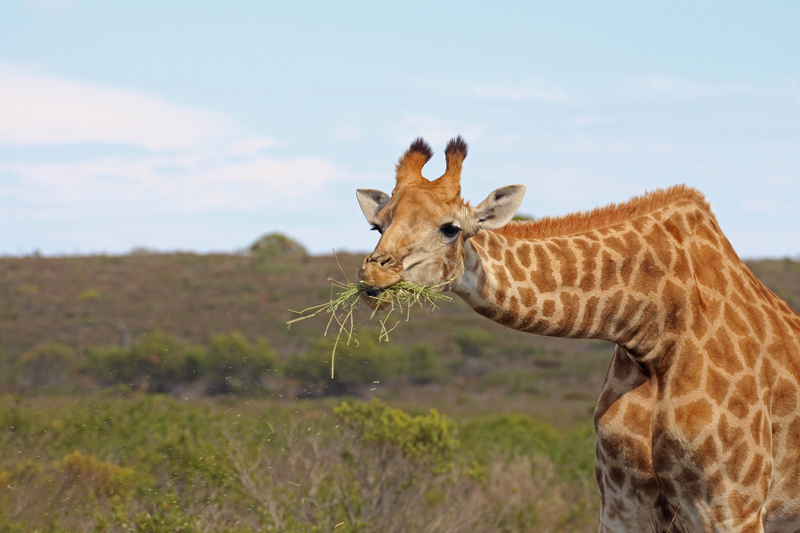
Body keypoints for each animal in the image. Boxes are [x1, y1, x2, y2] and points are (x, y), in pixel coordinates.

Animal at [354, 137, 800, 532]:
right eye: (376, 226)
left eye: (450, 229)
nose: (373, 275)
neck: (653, 331)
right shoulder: (622, 505)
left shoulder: (733, 507)